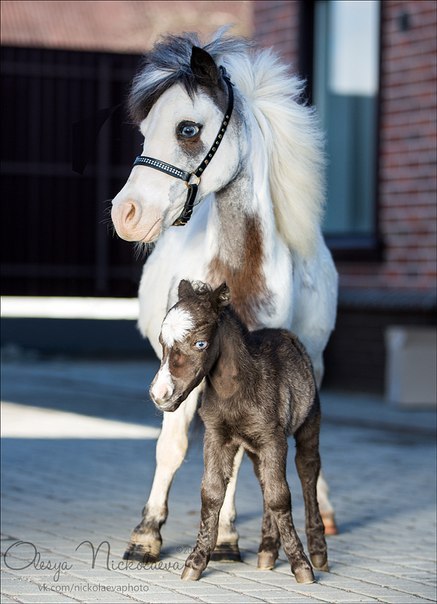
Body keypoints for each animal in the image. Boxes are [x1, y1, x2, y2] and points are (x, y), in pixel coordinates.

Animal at [150, 280, 328, 584]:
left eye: (200, 343)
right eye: (162, 342)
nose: (160, 394)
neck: (237, 389)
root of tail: (285, 333)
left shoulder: (274, 439)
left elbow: (280, 497)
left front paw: (302, 566)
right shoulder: (216, 436)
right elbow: (211, 493)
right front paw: (195, 563)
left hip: (308, 422)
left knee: (307, 470)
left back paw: (318, 553)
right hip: (256, 448)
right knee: (264, 480)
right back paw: (267, 551)